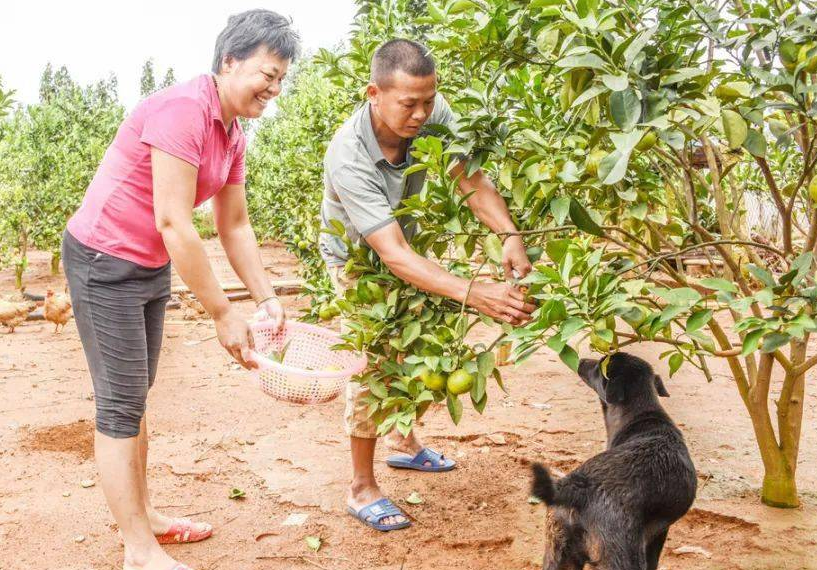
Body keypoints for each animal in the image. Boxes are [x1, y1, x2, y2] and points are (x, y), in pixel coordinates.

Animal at [532, 350, 700, 568]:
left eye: (599, 366)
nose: (581, 360)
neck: (642, 414)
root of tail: (577, 491)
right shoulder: (659, 534)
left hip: (559, 554)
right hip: (621, 558)